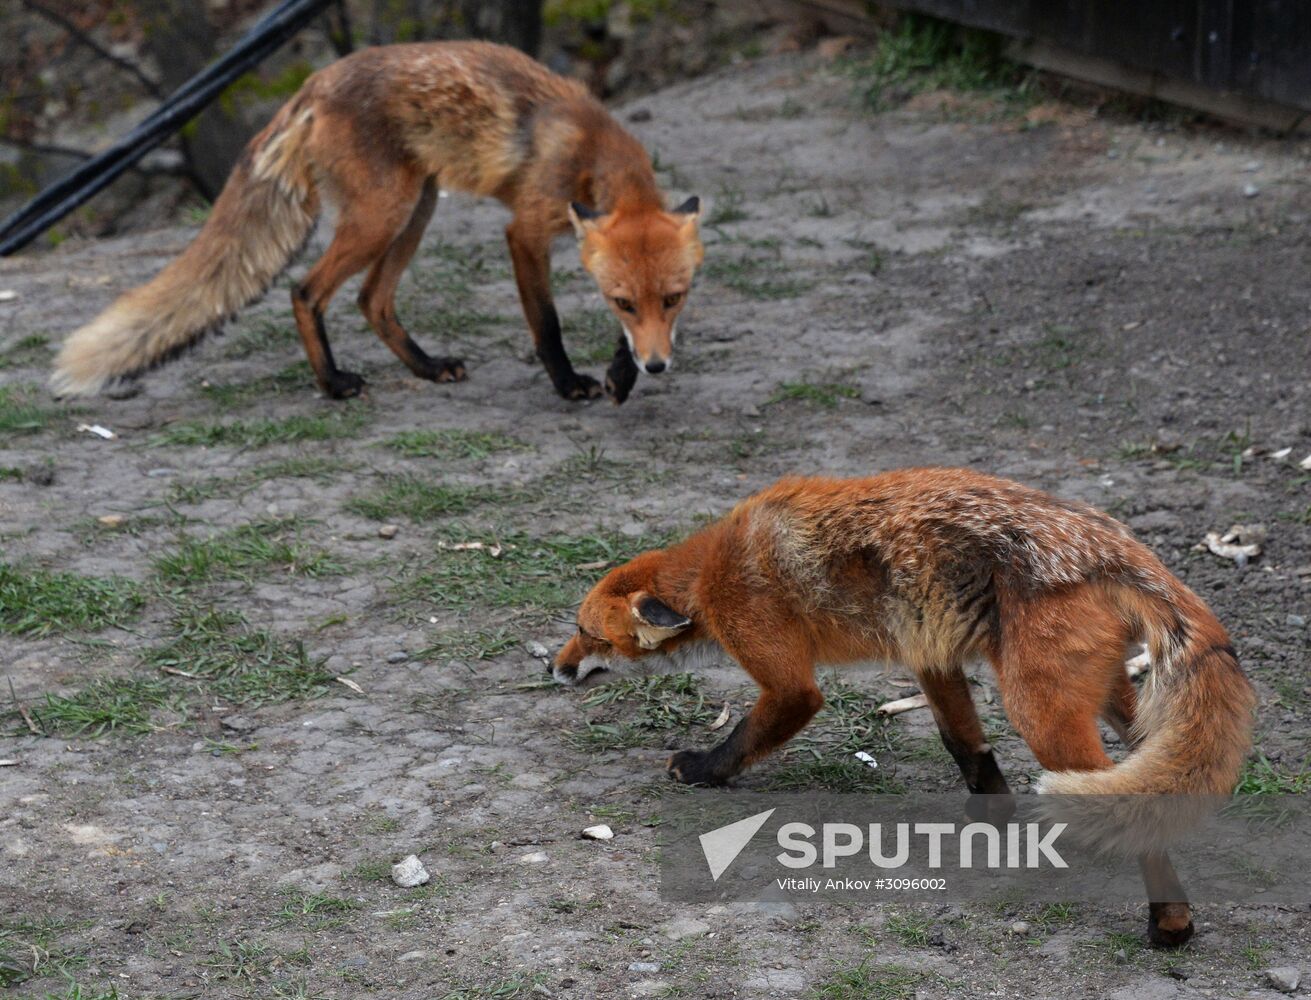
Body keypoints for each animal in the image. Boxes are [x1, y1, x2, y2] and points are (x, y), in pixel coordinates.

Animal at [48, 41, 707, 403]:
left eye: (674, 299)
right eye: (624, 302)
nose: (658, 367)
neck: (592, 153)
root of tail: (313, 83)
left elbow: (619, 334)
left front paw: (623, 377)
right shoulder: (524, 233)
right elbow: (547, 324)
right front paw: (569, 384)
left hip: (416, 208)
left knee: (371, 300)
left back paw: (426, 367)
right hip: (383, 214)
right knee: (306, 290)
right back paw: (333, 383)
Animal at [555, 469, 1258, 948]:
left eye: (589, 635)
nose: (553, 668)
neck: (709, 572)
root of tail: (1107, 540)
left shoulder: (786, 678)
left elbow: (746, 736)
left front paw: (702, 770)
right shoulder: (931, 653)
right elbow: (966, 745)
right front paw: (991, 819)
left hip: (1040, 712)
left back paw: (1171, 923)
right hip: (1117, 702)